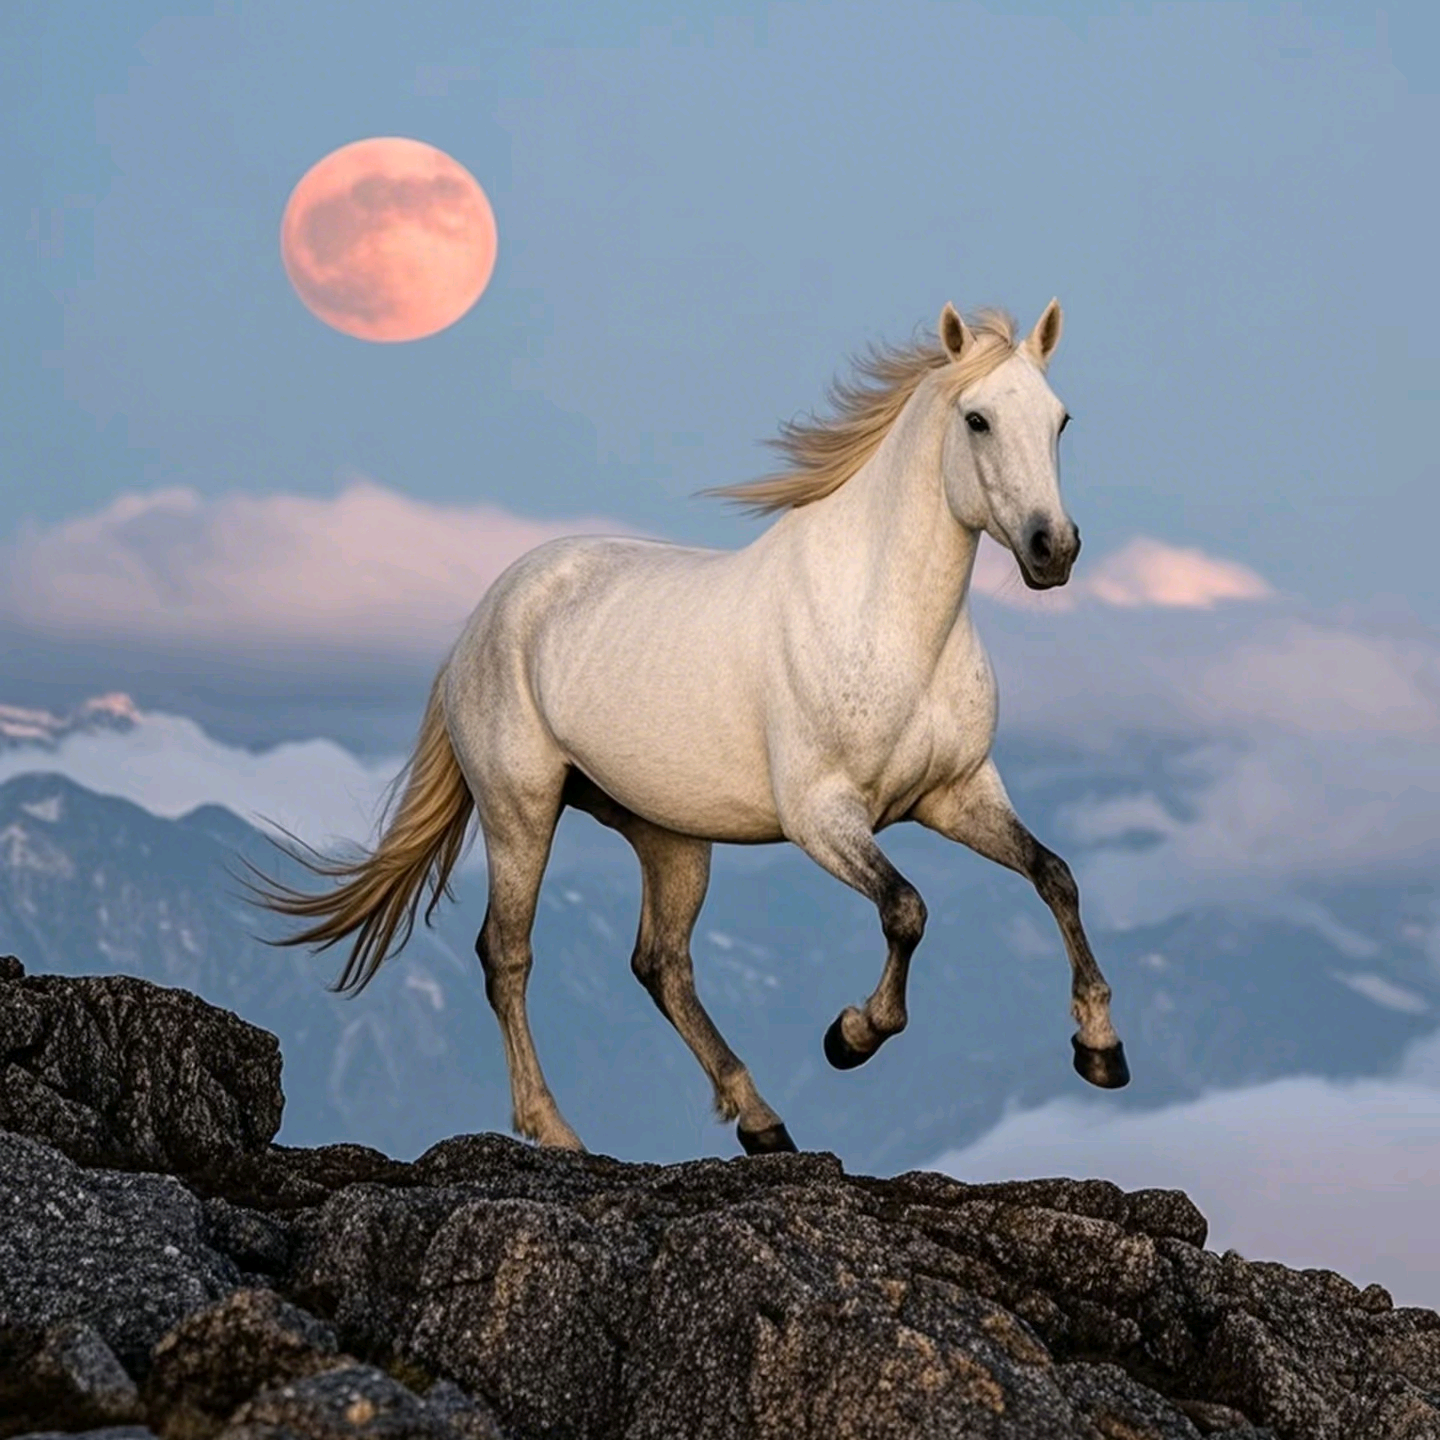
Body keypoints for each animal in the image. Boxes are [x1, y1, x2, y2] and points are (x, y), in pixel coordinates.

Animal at [241, 298, 1129, 1157]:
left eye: (1060, 420)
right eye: (977, 419)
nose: (1054, 550)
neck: (890, 624)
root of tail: (483, 619)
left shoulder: (957, 794)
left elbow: (1055, 875)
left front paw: (1100, 1049)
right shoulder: (821, 815)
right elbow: (907, 909)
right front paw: (851, 1036)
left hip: (669, 836)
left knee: (661, 965)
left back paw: (761, 1121)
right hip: (519, 809)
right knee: (508, 956)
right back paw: (558, 1131)